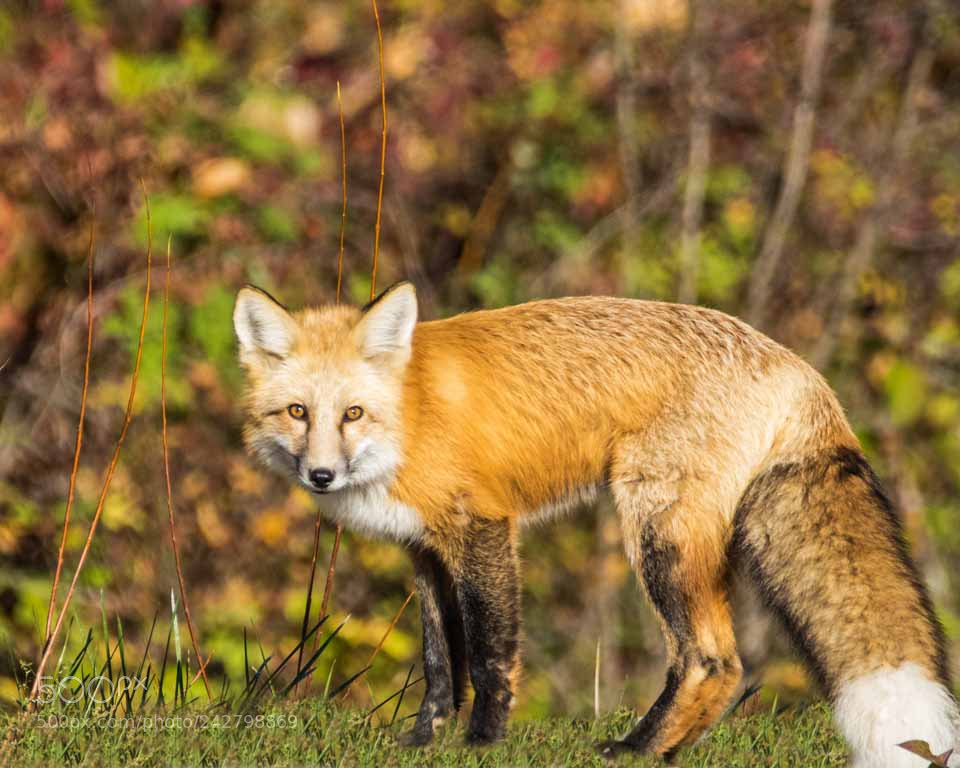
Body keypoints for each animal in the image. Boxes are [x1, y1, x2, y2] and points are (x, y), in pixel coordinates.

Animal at [233, 281, 959, 767]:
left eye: (353, 414)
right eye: (297, 412)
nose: (320, 476)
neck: (411, 415)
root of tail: (797, 365)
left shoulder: (485, 529)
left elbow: (491, 657)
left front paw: (481, 745)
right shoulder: (427, 551)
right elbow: (442, 663)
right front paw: (421, 742)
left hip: (656, 534)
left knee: (713, 661)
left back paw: (635, 751)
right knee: (723, 668)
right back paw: (661, 751)